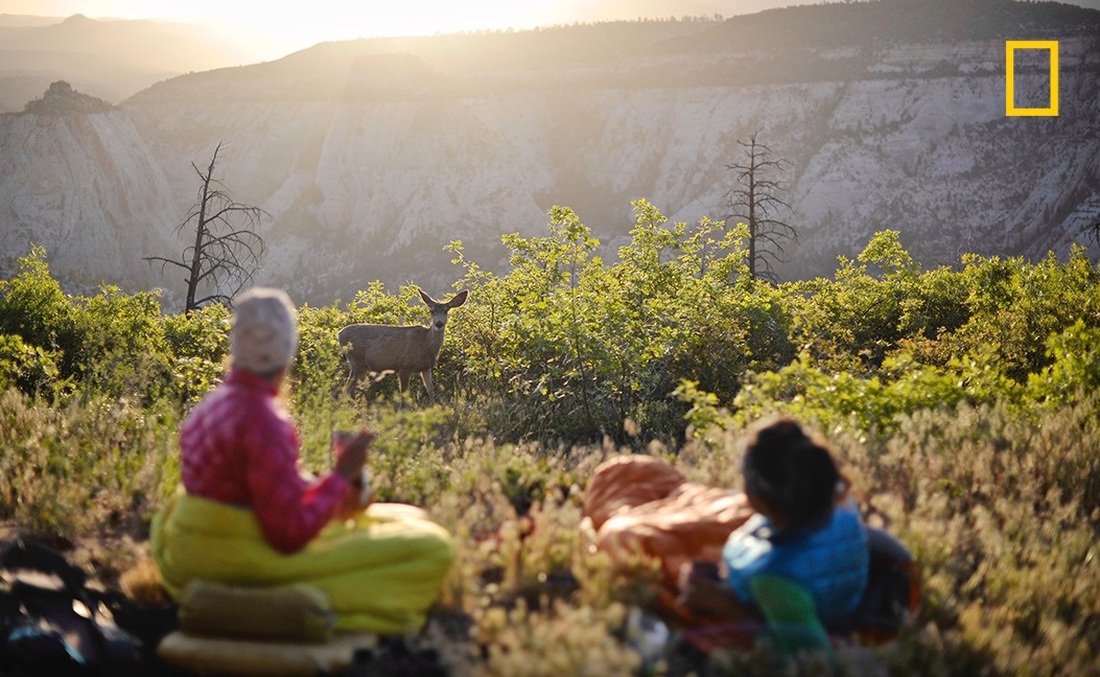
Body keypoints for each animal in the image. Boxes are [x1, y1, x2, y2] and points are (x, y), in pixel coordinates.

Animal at [338, 288, 468, 400]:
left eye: (446, 310)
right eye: (432, 311)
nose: (439, 323)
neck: (426, 345)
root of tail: (339, 335)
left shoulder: (426, 368)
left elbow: (431, 391)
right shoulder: (404, 365)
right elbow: (404, 395)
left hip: (363, 367)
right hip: (357, 361)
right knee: (345, 390)